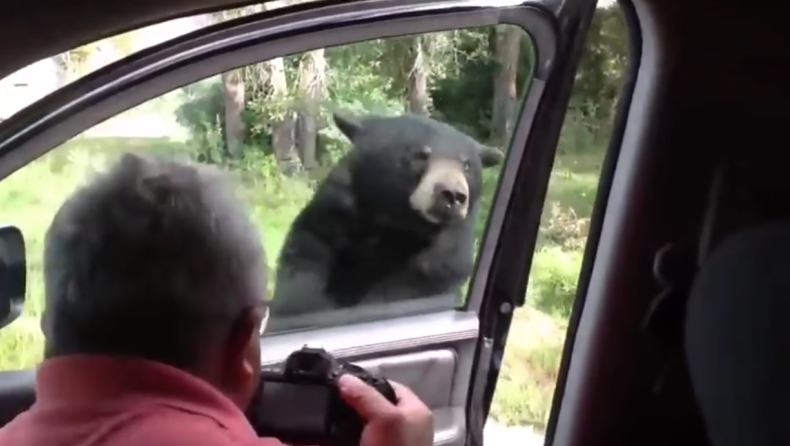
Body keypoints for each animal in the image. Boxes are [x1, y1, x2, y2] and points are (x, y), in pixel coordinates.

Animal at [270, 113, 504, 330]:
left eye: (467, 165)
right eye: (421, 154)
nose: (452, 195)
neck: (395, 225)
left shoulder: (440, 263)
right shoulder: (332, 220)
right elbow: (306, 261)